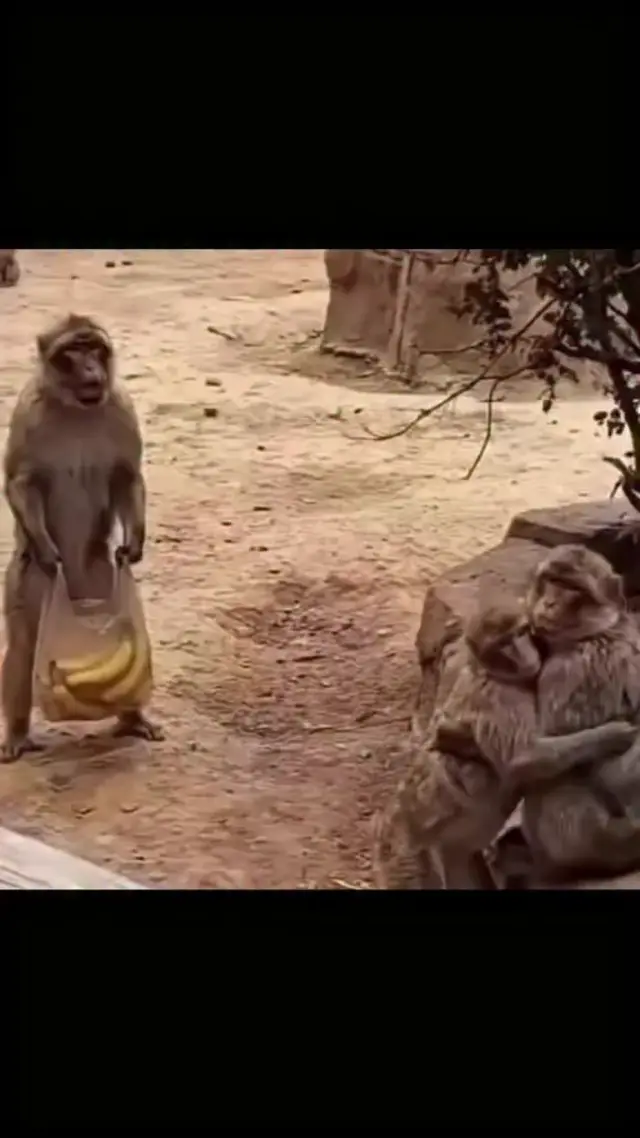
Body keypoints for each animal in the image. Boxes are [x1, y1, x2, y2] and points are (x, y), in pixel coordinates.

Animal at [1, 314, 163, 760]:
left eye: (95, 348)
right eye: (72, 351)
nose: (91, 368)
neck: (74, 408)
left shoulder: (120, 404)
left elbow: (127, 475)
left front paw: (135, 543)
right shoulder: (29, 409)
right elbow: (21, 482)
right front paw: (45, 550)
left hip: (99, 573)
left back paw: (132, 720)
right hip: (28, 584)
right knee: (22, 649)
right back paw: (17, 733)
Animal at [373, 601, 541, 890]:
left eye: (520, 633)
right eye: (503, 644)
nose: (523, 655)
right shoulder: (503, 697)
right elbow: (528, 760)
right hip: (409, 858)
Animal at [504, 544, 640, 883]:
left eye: (573, 589)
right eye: (551, 580)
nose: (550, 603)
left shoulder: (573, 671)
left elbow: (532, 755)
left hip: (592, 839)